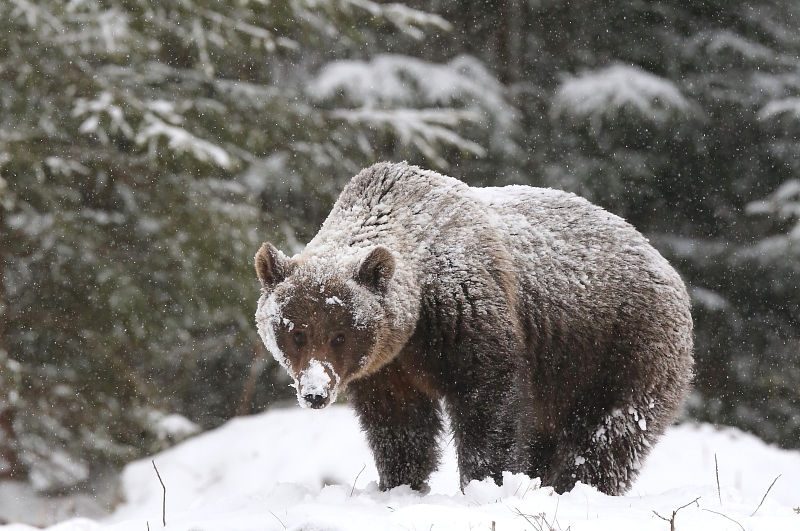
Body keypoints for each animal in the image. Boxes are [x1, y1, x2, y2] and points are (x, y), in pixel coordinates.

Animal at [253, 161, 692, 494]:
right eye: (296, 332)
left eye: (339, 334)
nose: (314, 393)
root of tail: (665, 263)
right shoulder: (388, 366)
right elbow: (398, 425)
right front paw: (400, 482)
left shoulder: (467, 314)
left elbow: (488, 405)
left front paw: (484, 481)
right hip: (562, 379)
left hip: (620, 347)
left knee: (611, 434)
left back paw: (576, 486)